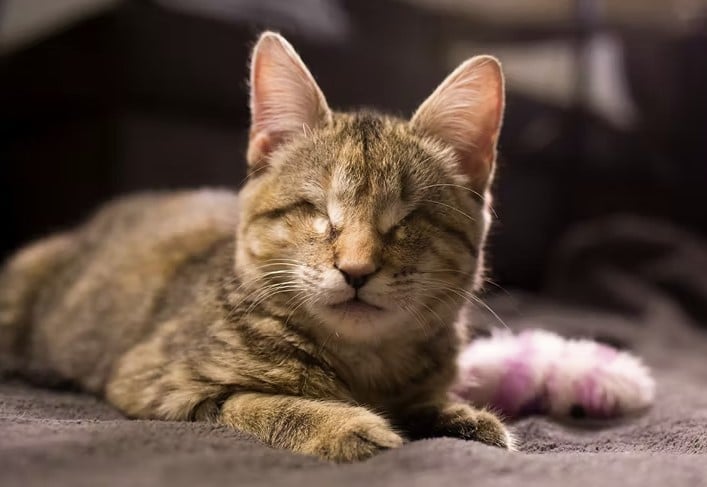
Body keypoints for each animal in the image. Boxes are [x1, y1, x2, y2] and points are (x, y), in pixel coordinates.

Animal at [0, 32, 512, 464]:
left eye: (408, 219)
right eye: (315, 209)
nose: (356, 269)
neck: (365, 365)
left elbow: (427, 402)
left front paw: (463, 417)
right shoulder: (160, 383)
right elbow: (262, 402)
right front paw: (344, 426)